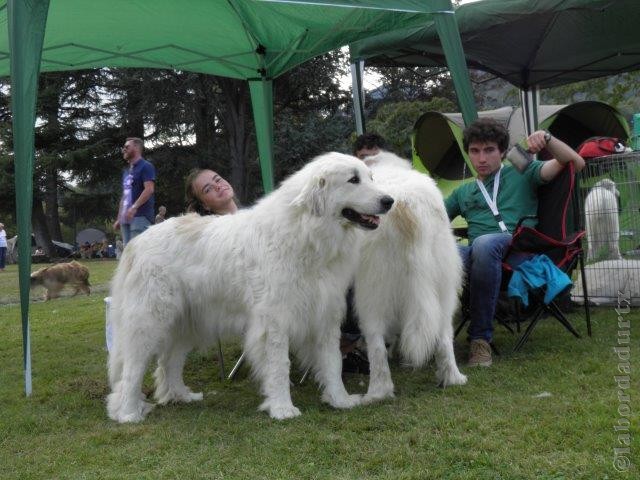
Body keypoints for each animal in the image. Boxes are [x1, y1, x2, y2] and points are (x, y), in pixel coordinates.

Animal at [107, 152, 392, 422]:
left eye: (371, 178)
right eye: (353, 180)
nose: (389, 201)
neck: (308, 234)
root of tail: (136, 243)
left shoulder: (325, 313)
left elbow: (332, 362)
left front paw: (340, 400)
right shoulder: (275, 321)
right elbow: (279, 366)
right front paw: (282, 408)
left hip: (185, 323)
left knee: (168, 362)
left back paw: (180, 396)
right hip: (149, 322)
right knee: (132, 370)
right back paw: (128, 413)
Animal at [356, 153, 464, 402]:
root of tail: (409, 206)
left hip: (371, 292)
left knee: (376, 345)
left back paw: (376, 393)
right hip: (444, 288)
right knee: (445, 338)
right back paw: (452, 378)